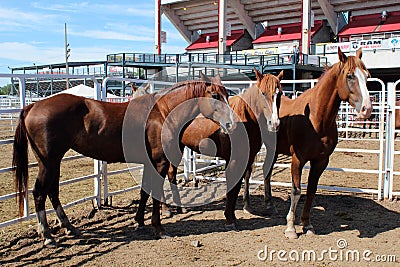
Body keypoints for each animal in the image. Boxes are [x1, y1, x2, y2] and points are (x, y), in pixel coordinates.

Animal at [14, 80, 236, 247]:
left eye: (226, 95)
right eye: (215, 96)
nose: (231, 123)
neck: (162, 112)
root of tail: (33, 106)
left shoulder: (150, 163)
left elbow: (144, 192)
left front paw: (139, 221)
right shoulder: (160, 163)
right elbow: (155, 193)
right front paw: (159, 228)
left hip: (54, 163)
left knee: (52, 192)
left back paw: (68, 227)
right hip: (48, 163)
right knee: (39, 193)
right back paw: (47, 235)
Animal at [161, 69, 282, 230]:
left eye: (279, 94)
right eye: (263, 93)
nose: (274, 123)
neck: (245, 121)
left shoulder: (245, 159)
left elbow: (238, 186)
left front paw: (235, 216)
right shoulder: (234, 160)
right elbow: (232, 187)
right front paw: (230, 219)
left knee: (171, 174)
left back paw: (179, 207)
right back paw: (166, 209)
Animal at [250, 47, 372, 240]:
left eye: (367, 76)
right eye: (350, 76)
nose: (367, 109)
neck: (315, 120)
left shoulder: (321, 161)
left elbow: (311, 191)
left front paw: (307, 224)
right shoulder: (297, 160)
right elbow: (296, 191)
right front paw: (291, 228)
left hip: (274, 149)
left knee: (267, 171)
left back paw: (270, 204)